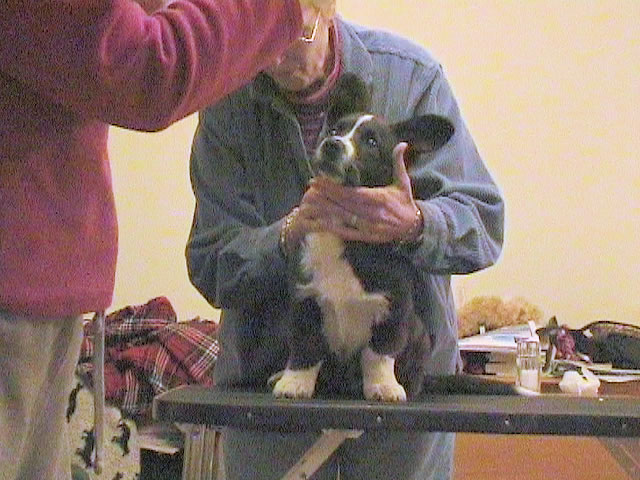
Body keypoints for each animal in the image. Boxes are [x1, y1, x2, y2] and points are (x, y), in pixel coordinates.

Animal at [272, 74, 456, 402]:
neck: (344, 236)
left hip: (419, 334)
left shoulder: (393, 310)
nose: (331, 145)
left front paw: (383, 387)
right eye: (335, 130)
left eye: (371, 142)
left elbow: (378, 354)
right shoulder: (305, 302)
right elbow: (305, 349)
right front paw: (294, 384)